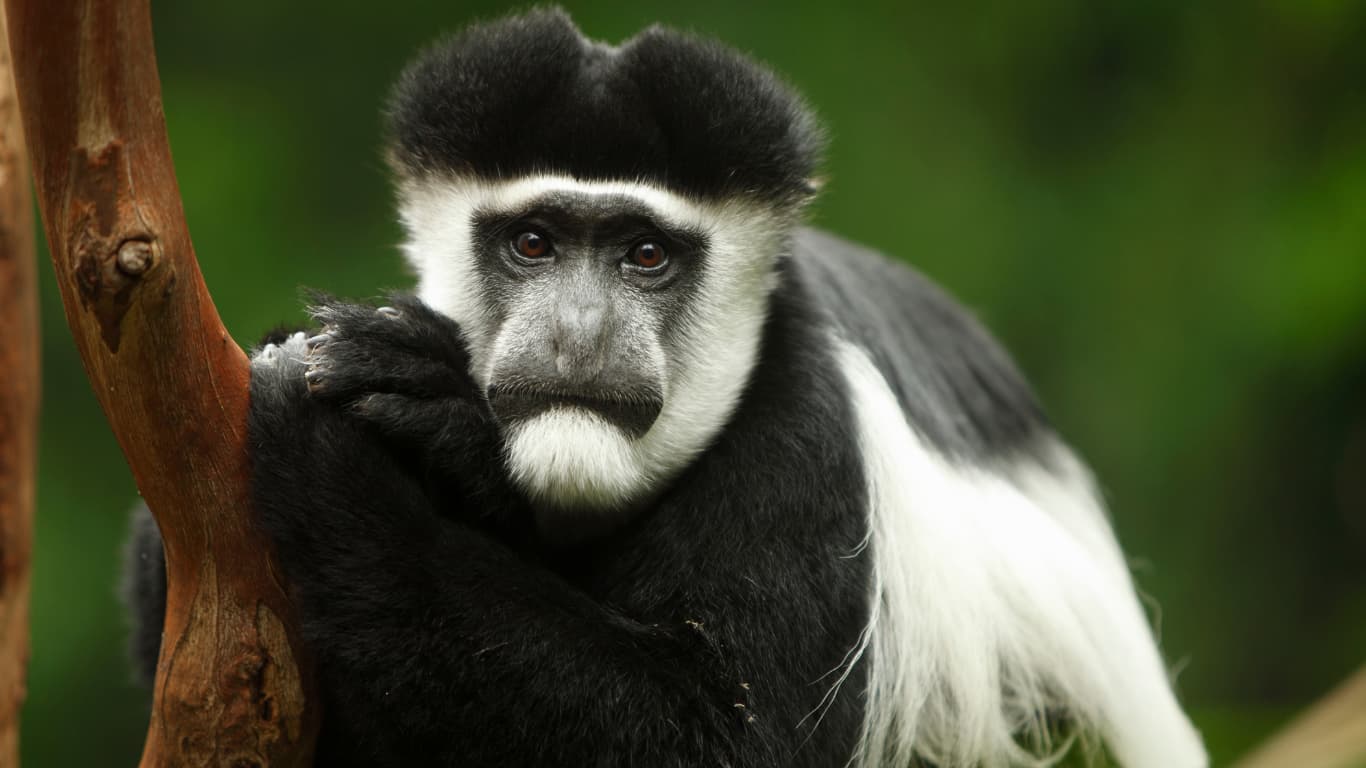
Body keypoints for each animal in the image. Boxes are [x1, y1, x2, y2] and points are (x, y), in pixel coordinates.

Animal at [125, 9, 1206, 767]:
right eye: (533, 243)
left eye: (645, 256)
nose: (579, 334)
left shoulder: (806, 451)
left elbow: (726, 737)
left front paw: (344, 457)